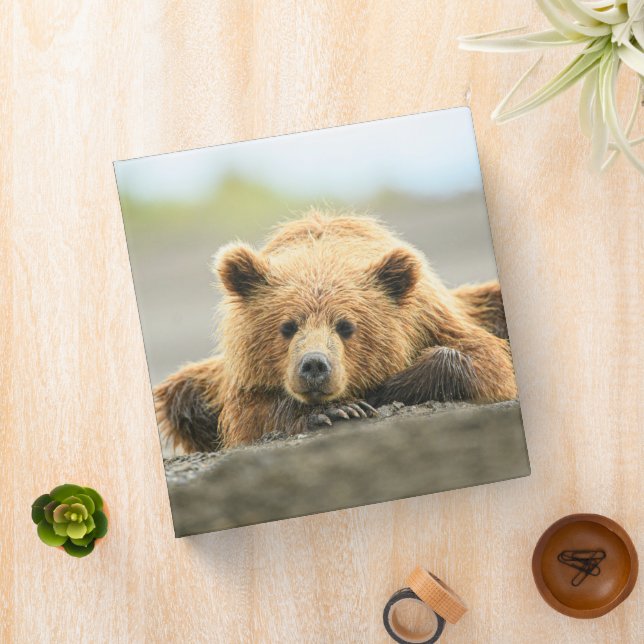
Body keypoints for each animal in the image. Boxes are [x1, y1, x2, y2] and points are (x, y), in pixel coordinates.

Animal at [154, 210, 517, 453]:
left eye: (346, 326)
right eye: (288, 326)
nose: (314, 365)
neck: (324, 254)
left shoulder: (432, 318)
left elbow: (484, 361)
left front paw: (381, 391)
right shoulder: (241, 374)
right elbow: (249, 415)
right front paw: (336, 410)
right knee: (182, 394)